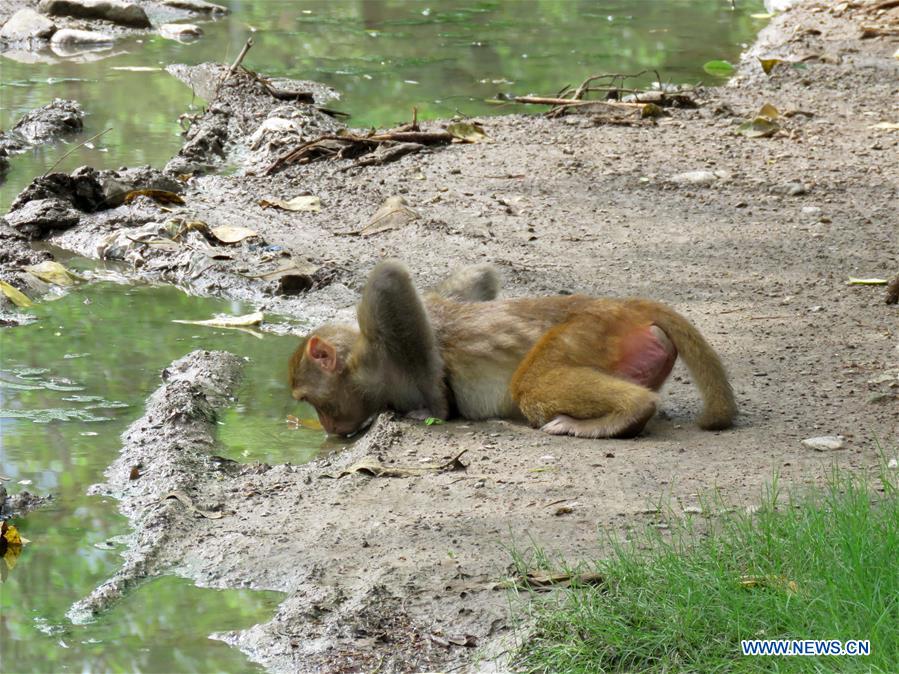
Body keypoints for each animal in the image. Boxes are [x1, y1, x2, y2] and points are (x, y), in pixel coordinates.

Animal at [289, 260, 736, 439]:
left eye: (310, 400)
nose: (327, 426)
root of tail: (623, 306)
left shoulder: (377, 356)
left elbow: (390, 278)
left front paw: (435, 407)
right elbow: (479, 276)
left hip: (590, 332)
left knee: (530, 386)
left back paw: (625, 414)